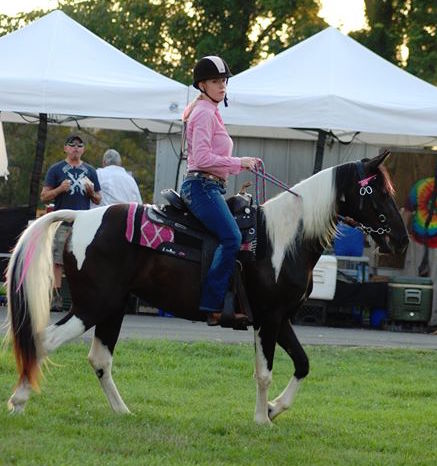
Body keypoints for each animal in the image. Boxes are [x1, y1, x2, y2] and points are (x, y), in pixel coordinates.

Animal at [5, 151, 406, 424]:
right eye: (377, 192)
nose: (400, 240)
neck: (283, 239)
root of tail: (81, 215)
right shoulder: (268, 319)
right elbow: (264, 371)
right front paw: (261, 419)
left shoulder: (282, 318)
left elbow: (303, 364)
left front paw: (274, 408)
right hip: (92, 305)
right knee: (44, 340)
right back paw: (19, 400)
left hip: (113, 307)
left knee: (99, 359)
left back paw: (123, 411)